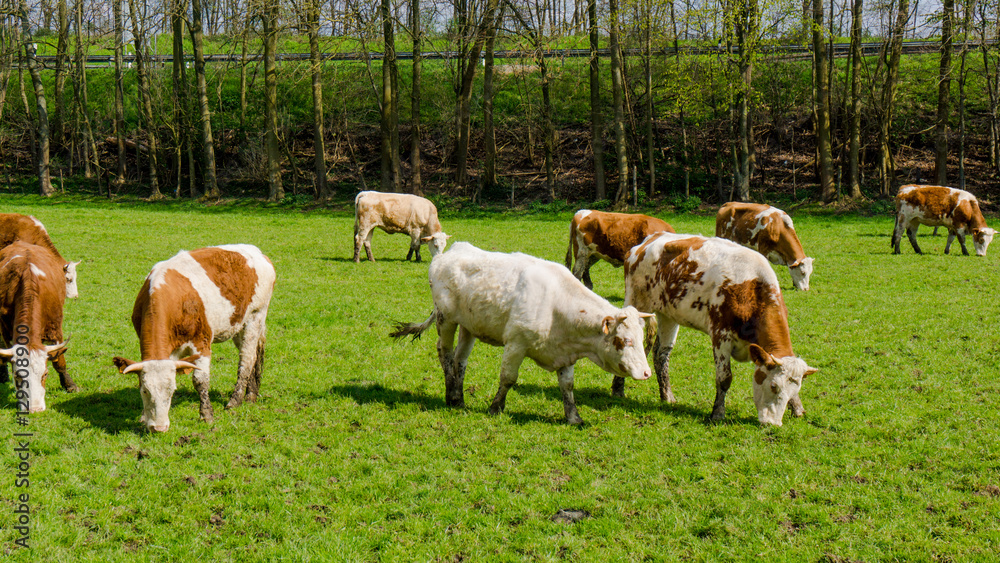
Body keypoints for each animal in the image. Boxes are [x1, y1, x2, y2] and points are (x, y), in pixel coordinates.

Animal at [0, 241, 74, 413]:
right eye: (18, 376)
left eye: (45, 374)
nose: (35, 409)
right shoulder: (6, 330)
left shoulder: (55, 330)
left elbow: (59, 361)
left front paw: (69, 384)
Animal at [112, 244, 275, 433]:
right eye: (145, 391)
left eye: (172, 390)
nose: (159, 428)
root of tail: (257, 252)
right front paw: (143, 417)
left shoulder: (202, 344)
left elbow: (200, 381)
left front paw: (207, 415)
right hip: (238, 325)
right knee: (255, 355)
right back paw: (252, 394)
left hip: (256, 317)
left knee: (247, 359)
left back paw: (236, 401)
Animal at [390, 242, 653, 424]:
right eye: (625, 340)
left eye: (641, 340)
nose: (646, 372)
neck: (557, 304)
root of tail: (446, 255)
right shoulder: (516, 344)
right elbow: (508, 378)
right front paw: (496, 408)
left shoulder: (565, 353)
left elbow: (567, 386)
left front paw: (574, 417)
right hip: (446, 320)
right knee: (444, 353)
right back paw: (451, 396)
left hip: (469, 326)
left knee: (459, 360)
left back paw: (459, 398)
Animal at [620, 232, 817, 426]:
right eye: (773, 386)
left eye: (794, 390)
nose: (773, 423)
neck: (753, 290)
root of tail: (648, 241)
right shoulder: (721, 336)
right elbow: (724, 378)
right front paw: (717, 414)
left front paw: (797, 408)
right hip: (637, 302)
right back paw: (618, 391)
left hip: (668, 315)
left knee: (661, 354)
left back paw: (667, 396)